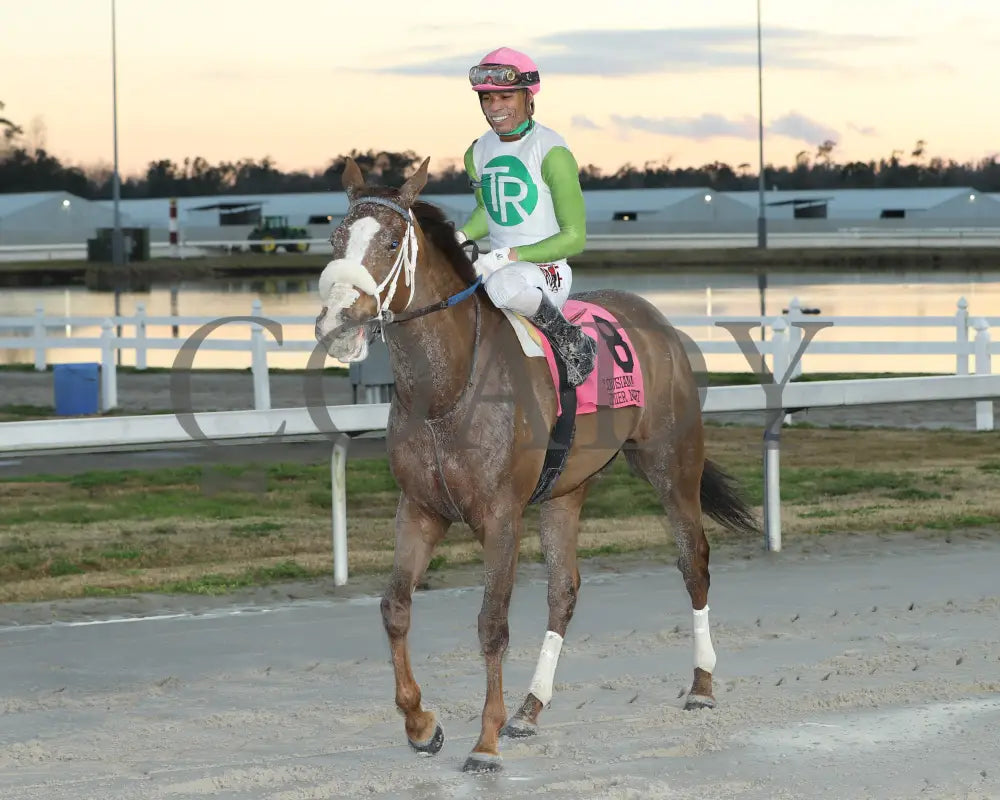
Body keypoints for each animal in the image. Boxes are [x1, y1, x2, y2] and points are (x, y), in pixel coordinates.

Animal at [314, 156, 756, 776]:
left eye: (392, 242)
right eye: (335, 239)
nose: (335, 321)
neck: (446, 392)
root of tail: (655, 318)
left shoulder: (501, 516)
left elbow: (492, 625)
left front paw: (485, 741)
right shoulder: (420, 508)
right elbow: (394, 608)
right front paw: (422, 725)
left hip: (671, 464)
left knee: (693, 561)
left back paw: (701, 685)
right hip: (566, 490)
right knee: (563, 590)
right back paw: (529, 709)